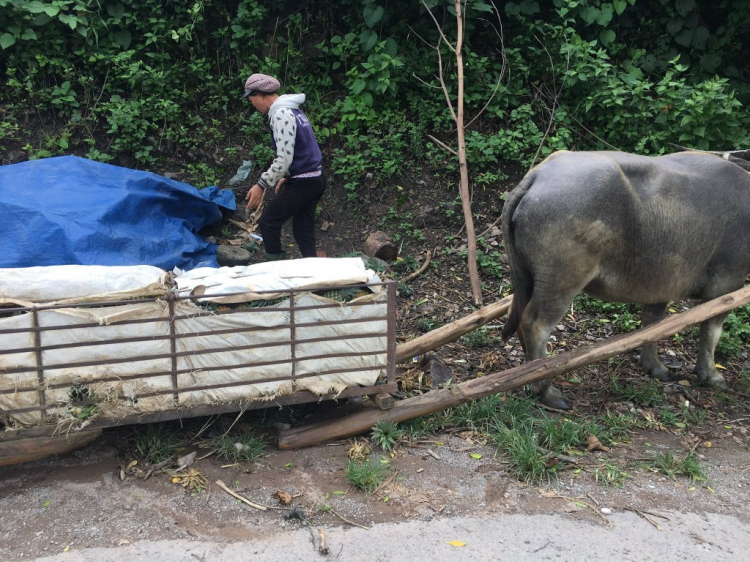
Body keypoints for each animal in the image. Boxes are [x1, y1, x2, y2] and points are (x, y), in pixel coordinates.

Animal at [502, 149, 750, 406]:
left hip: (529, 278)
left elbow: (653, 324)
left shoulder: (660, 284)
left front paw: (655, 367)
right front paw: (711, 375)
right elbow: (711, 330)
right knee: (535, 324)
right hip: (561, 282)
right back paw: (545, 389)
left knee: (518, 314)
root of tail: (537, 177)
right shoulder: (727, 282)